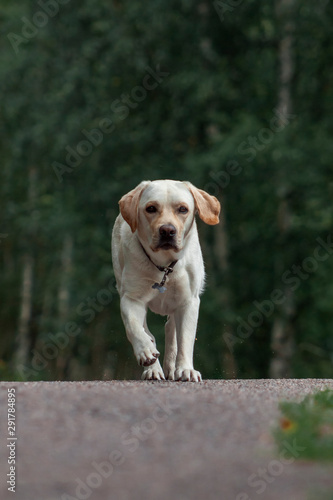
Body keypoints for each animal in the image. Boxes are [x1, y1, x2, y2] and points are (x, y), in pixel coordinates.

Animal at [111, 182, 219, 380]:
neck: (164, 267)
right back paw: (154, 369)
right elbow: (135, 327)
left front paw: (185, 369)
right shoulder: (131, 298)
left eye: (183, 209)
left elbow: (185, 339)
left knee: (171, 330)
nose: (167, 230)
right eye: (151, 208)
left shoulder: (188, 301)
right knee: (148, 331)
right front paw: (146, 352)